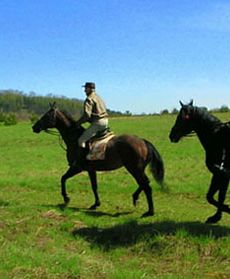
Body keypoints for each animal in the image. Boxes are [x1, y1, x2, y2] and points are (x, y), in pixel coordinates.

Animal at [32, 104, 165, 218]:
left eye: (46, 115)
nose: (34, 127)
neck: (74, 138)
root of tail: (143, 141)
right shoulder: (91, 170)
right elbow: (94, 186)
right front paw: (96, 204)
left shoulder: (77, 167)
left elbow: (63, 178)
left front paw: (66, 198)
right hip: (137, 169)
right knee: (144, 183)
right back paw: (135, 198)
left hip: (134, 169)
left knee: (146, 185)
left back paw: (150, 211)